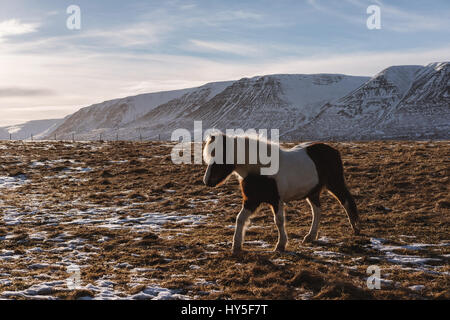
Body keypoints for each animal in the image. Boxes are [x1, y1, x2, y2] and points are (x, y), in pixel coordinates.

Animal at [202, 132, 360, 255]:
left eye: (220, 157)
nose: (207, 181)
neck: (260, 169)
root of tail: (333, 151)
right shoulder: (251, 200)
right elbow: (240, 219)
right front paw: (236, 246)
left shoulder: (276, 200)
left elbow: (278, 221)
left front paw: (281, 245)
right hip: (313, 192)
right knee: (317, 211)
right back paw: (311, 236)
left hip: (335, 184)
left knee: (346, 201)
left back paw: (355, 228)